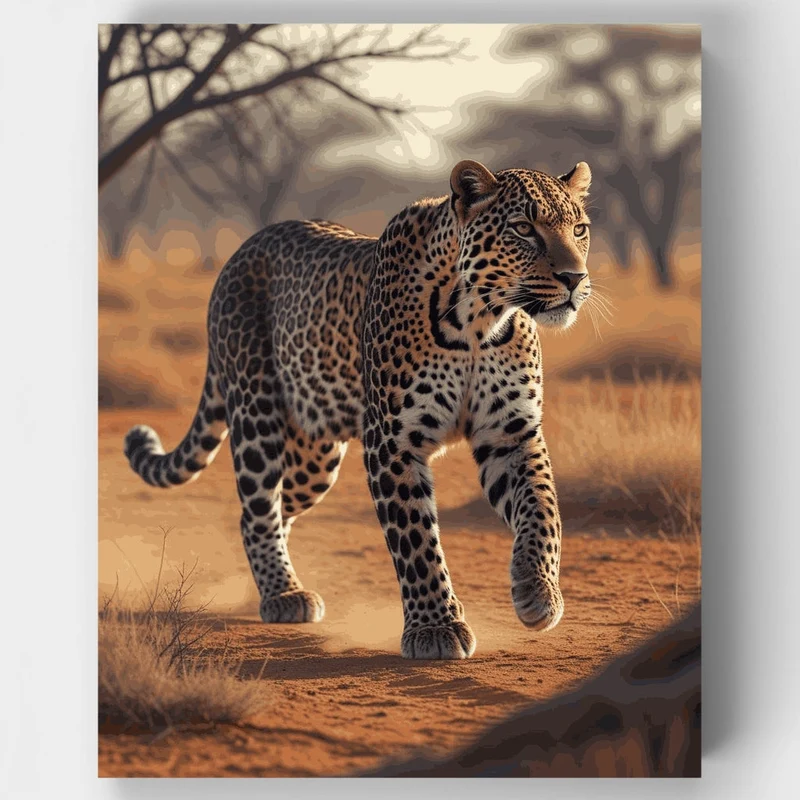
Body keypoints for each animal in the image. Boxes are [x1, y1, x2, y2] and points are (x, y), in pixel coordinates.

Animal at [124, 159, 594, 660]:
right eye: (523, 229)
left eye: (579, 229)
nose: (575, 278)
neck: (479, 321)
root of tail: (241, 250)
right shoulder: (393, 440)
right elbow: (416, 540)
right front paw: (435, 628)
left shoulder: (511, 433)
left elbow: (542, 511)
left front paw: (538, 592)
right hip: (256, 415)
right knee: (258, 509)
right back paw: (282, 593)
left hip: (316, 456)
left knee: (279, 507)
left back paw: (266, 585)